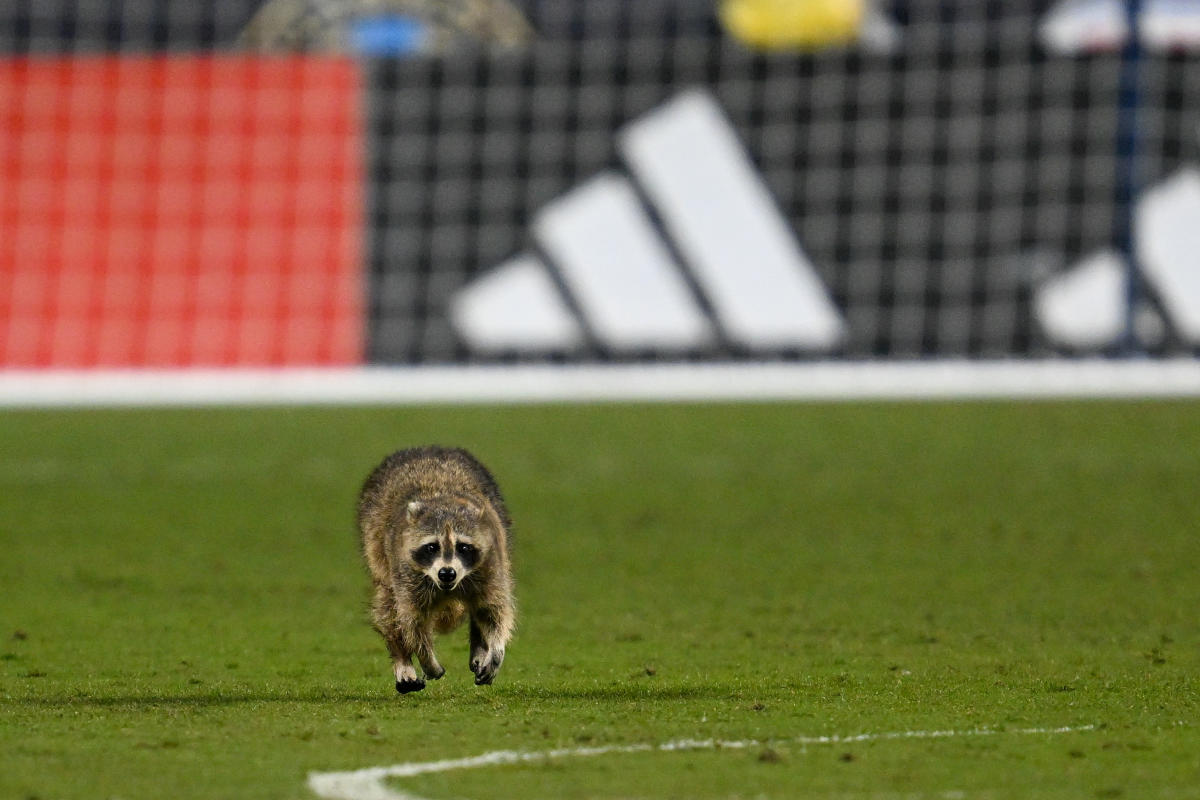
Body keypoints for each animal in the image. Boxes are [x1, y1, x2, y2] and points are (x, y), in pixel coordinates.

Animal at [350, 443, 511, 695]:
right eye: (432, 547)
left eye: (463, 547)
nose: (447, 573)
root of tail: (428, 449)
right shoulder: (405, 571)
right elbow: (413, 620)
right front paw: (426, 659)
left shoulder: (490, 563)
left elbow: (493, 610)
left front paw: (494, 648)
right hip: (378, 551)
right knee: (388, 607)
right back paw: (403, 661)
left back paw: (479, 644)